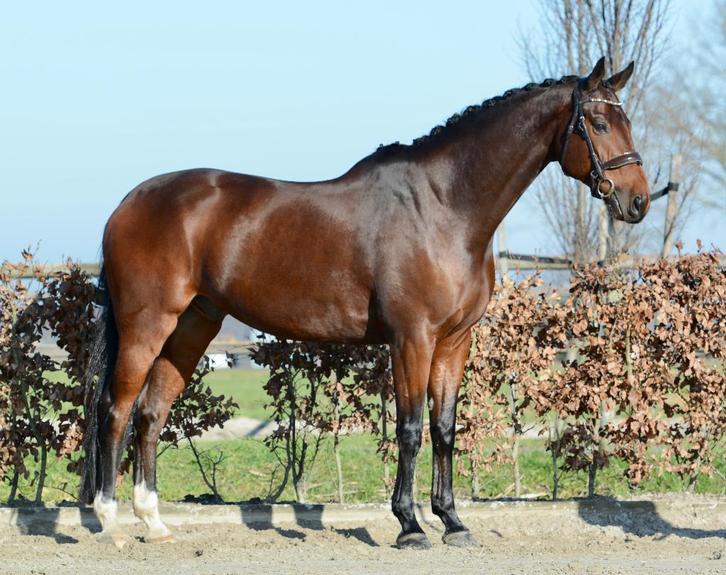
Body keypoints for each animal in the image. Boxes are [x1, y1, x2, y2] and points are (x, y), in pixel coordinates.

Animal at [80, 57, 649, 549]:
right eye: (600, 123)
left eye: (626, 121)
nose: (638, 200)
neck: (444, 206)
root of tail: (128, 204)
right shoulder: (411, 339)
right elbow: (411, 428)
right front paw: (410, 526)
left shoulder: (454, 342)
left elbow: (445, 428)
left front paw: (453, 522)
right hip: (148, 325)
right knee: (116, 409)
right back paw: (109, 521)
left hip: (193, 326)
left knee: (151, 413)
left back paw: (154, 523)